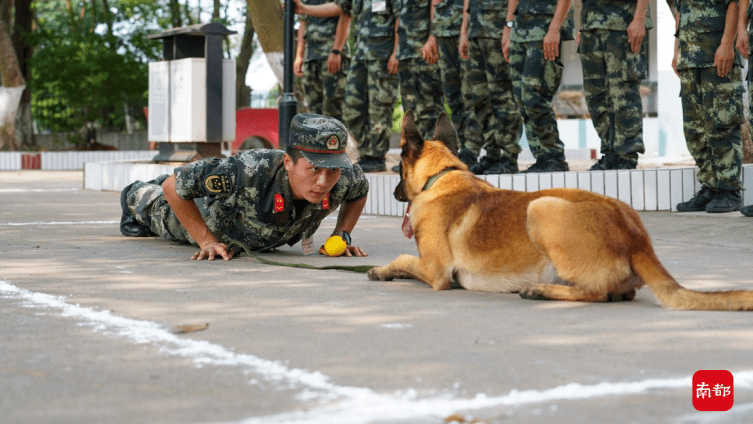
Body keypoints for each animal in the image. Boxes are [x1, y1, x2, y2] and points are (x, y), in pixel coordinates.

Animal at [368, 112, 752, 312]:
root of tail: (636, 237)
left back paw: (539, 290)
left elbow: (403, 258)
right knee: (617, 292)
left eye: (397, 169)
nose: (394, 192)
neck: (442, 175)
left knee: (596, 293)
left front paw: (380, 270)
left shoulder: (436, 271)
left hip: (541, 207)